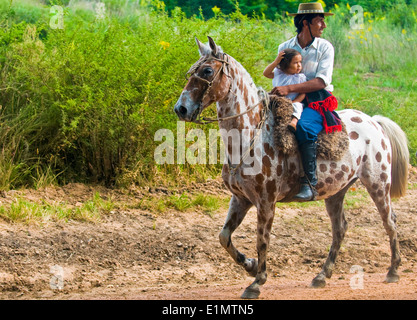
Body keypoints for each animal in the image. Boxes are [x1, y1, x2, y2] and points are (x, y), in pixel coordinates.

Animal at [173, 37, 410, 300]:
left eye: (206, 70)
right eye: (192, 71)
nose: (181, 109)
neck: (250, 136)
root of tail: (374, 121)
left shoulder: (266, 202)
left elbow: (262, 240)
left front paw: (257, 282)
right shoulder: (240, 199)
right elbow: (224, 237)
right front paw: (250, 265)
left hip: (378, 184)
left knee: (390, 221)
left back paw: (393, 270)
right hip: (336, 192)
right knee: (340, 229)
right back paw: (321, 276)